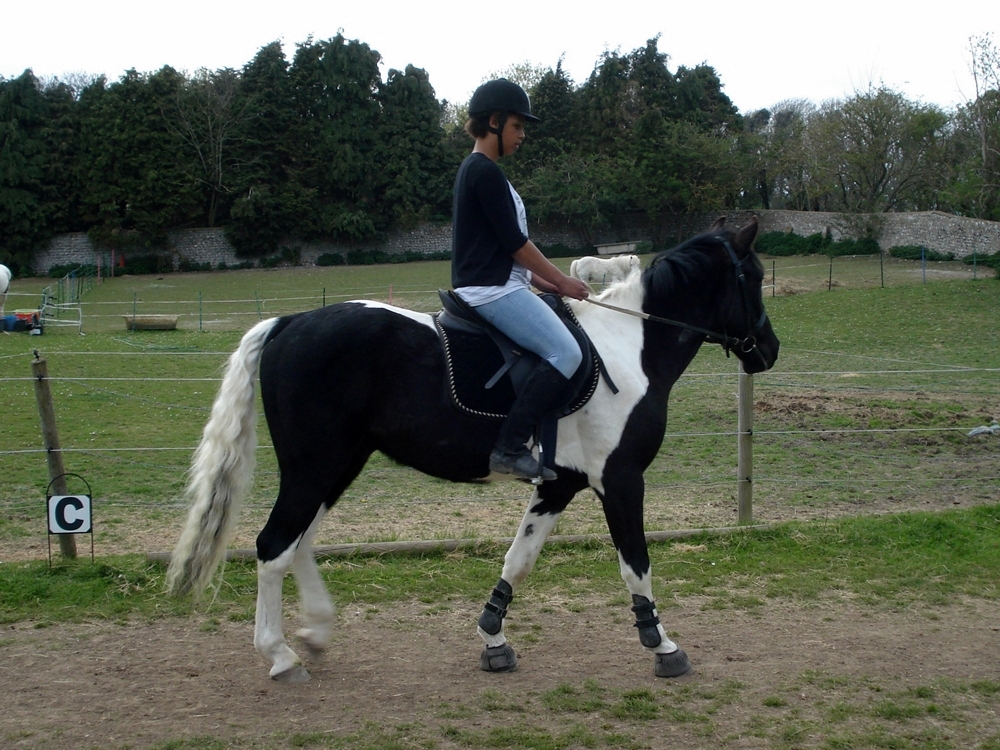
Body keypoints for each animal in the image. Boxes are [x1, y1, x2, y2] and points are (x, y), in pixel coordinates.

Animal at [166, 217, 779, 682]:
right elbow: (636, 565)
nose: (769, 350)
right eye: (751, 275)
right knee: (274, 547)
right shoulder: (621, 480)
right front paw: (662, 645)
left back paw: (314, 631)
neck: (631, 349)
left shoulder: (559, 485)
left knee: (301, 541)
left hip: (338, 465)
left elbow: (519, 560)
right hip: (312, 466)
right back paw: (282, 656)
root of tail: (288, 323)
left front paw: (493, 638)